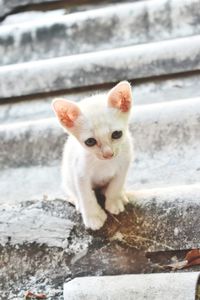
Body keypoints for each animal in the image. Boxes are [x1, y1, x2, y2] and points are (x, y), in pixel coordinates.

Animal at [52, 80, 133, 230]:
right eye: (90, 141)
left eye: (117, 134)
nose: (108, 154)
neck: (104, 163)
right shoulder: (80, 173)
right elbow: (86, 196)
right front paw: (93, 217)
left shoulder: (125, 163)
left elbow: (116, 184)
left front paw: (114, 200)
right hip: (67, 177)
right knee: (73, 191)